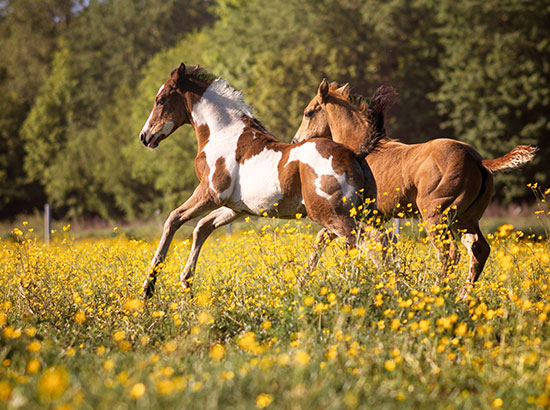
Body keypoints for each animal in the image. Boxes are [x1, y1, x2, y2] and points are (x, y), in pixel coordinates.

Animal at [139, 64, 380, 298]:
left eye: (160, 100)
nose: (145, 136)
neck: (224, 134)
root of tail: (353, 156)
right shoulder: (236, 208)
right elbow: (202, 227)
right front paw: (186, 283)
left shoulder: (210, 194)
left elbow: (173, 219)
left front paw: (148, 287)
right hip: (352, 214)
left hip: (332, 215)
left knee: (370, 240)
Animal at [294, 79, 540, 298]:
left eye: (308, 112)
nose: (296, 140)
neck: (361, 148)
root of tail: (478, 160)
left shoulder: (347, 213)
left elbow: (326, 240)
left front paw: (303, 282)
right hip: (466, 219)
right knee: (479, 250)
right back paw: (462, 296)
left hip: (436, 216)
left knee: (449, 253)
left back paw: (436, 293)